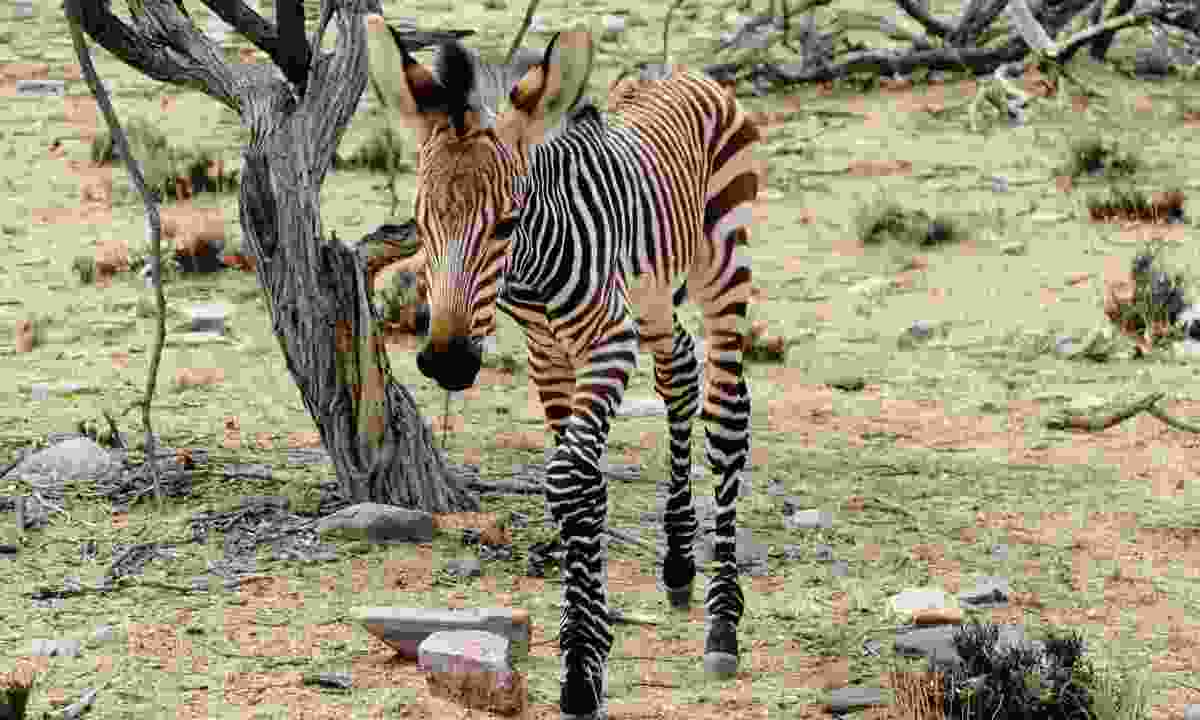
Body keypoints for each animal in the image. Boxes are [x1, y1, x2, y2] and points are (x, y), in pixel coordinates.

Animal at [362, 16, 758, 720]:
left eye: (507, 223)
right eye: (422, 223)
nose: (447, 361)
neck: (532, 266)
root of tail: (680, 70)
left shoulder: (606, 342)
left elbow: (574, 480)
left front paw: (580, 667)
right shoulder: (548, 353)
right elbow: (581, 487)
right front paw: (586, 645)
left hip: (722, 262)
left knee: (727, 418)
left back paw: (723, 624)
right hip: (651, 294)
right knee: (680, 370)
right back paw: (679, 563)